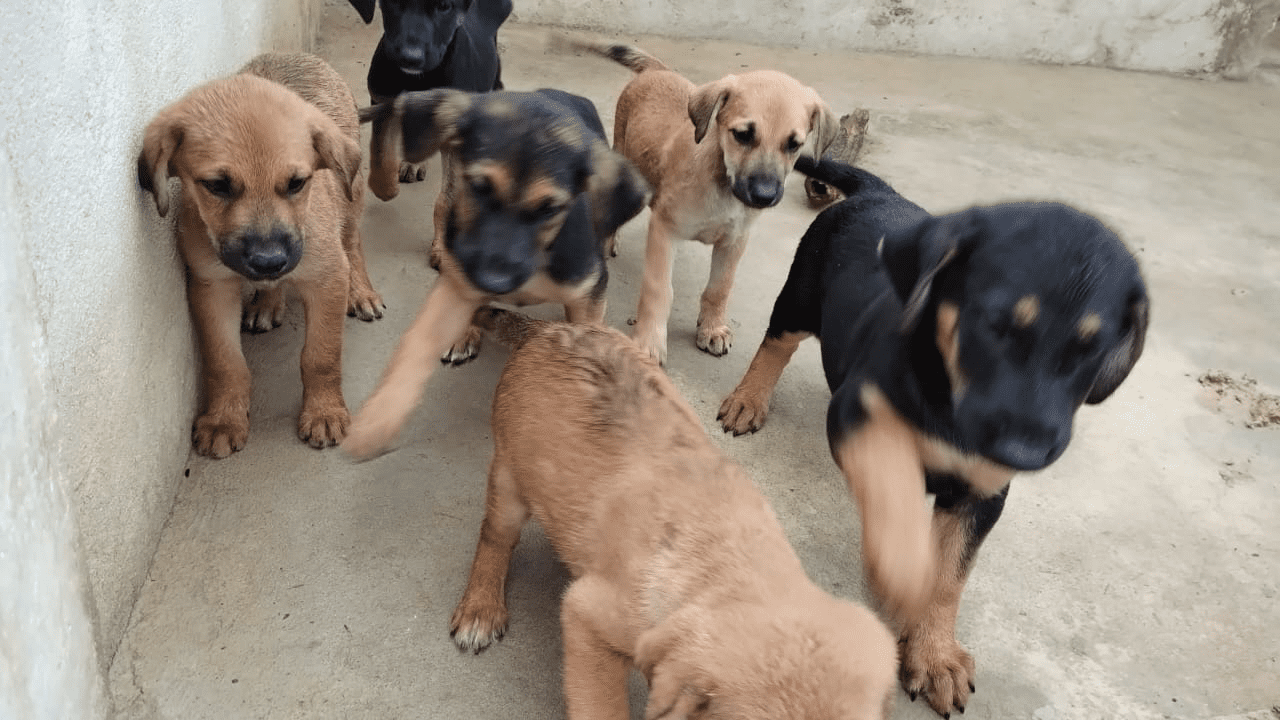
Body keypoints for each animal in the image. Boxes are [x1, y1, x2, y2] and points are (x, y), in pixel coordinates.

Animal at [138, 51, 384, 453]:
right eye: (217, 185)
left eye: (297, 183)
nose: (269, 261)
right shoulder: (211, 287)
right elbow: (225, 362)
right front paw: (224, 418)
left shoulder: (327, 278)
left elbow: (321, 355)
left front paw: (324, 412)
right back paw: (268, 302)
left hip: (351, 202)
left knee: (353, 242)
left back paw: (361, 292)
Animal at [450, 307, 901, 717]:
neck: (730, 569)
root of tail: (549, 328)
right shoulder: (589, 619)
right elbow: (604, 707)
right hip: (510, 480)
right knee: (495, 536)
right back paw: (480, 609)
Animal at [560, 39, 839, 363]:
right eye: (742, 135)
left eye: (794, 145)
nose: (764, 196)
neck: (722, 183)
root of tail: (658, 70)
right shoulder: (664, 229)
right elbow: (659, 289)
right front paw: (649, 342)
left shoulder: (735, 240)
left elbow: (720, 287)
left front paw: (712, 328)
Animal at [721, 156, 1152, 712]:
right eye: (994, 325)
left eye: (1091, 349)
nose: (1024, 453)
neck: (949, 401)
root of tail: (879, 193)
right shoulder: (857, 413)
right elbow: (894, 485)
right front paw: (903, 573)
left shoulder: (983, 493)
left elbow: (951, 575)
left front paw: (935, 654)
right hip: (800, 294)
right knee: (776, 343)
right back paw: (748, 399)